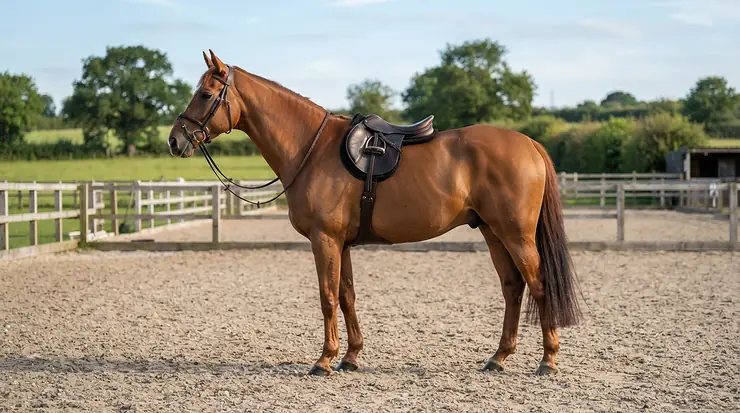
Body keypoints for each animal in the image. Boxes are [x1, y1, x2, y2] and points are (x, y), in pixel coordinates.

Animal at [167, 49, 582, 377]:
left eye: (205, 94)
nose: (175, 139)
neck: (311, 149)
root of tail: (529, 143)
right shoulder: (341, 243)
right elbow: (347, 294)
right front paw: (350, 357)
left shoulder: (324, 239)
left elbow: (327, 296)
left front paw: (324, 360)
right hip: (493, 233)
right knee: (512, 288)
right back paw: (499, 358)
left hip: (516, 235)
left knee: (539, 285)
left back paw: (548, 360)